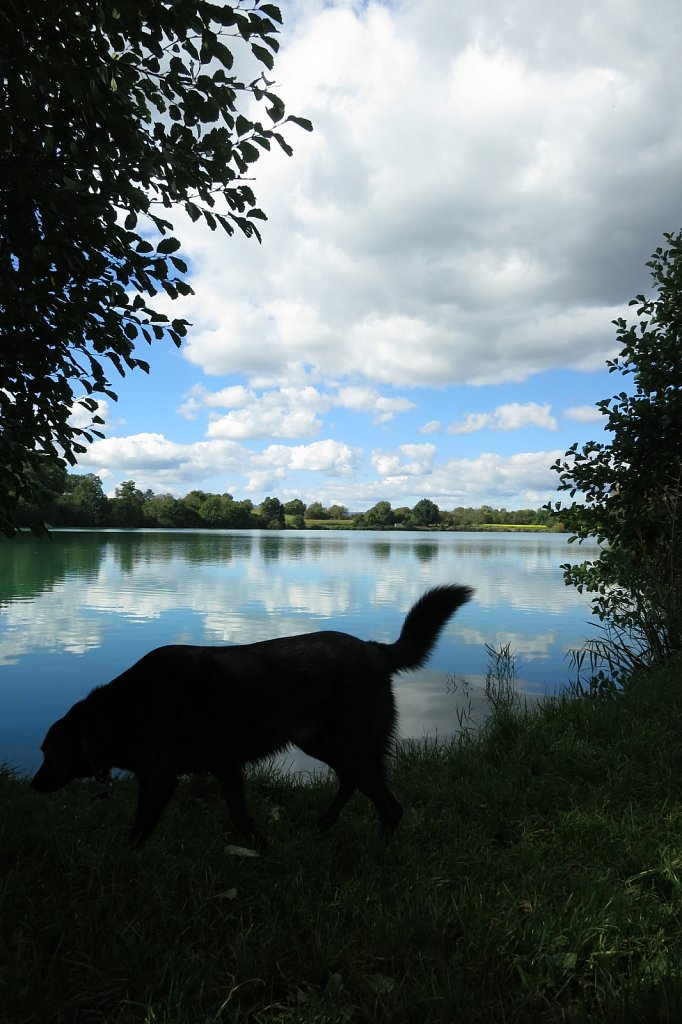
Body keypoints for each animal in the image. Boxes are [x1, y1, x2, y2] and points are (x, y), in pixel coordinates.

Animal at [33, 585, 473, 847]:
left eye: (47, 752)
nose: (34, 785)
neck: (125, 709)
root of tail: (375, 650)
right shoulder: (227, 767)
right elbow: (241, 818)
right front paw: (261, 848)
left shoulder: (159, 778)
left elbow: (138, 832)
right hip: (317, 742)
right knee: (351, 782)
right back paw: (323, 825)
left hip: (351, 743)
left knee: (388, 805)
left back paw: (378, 850)